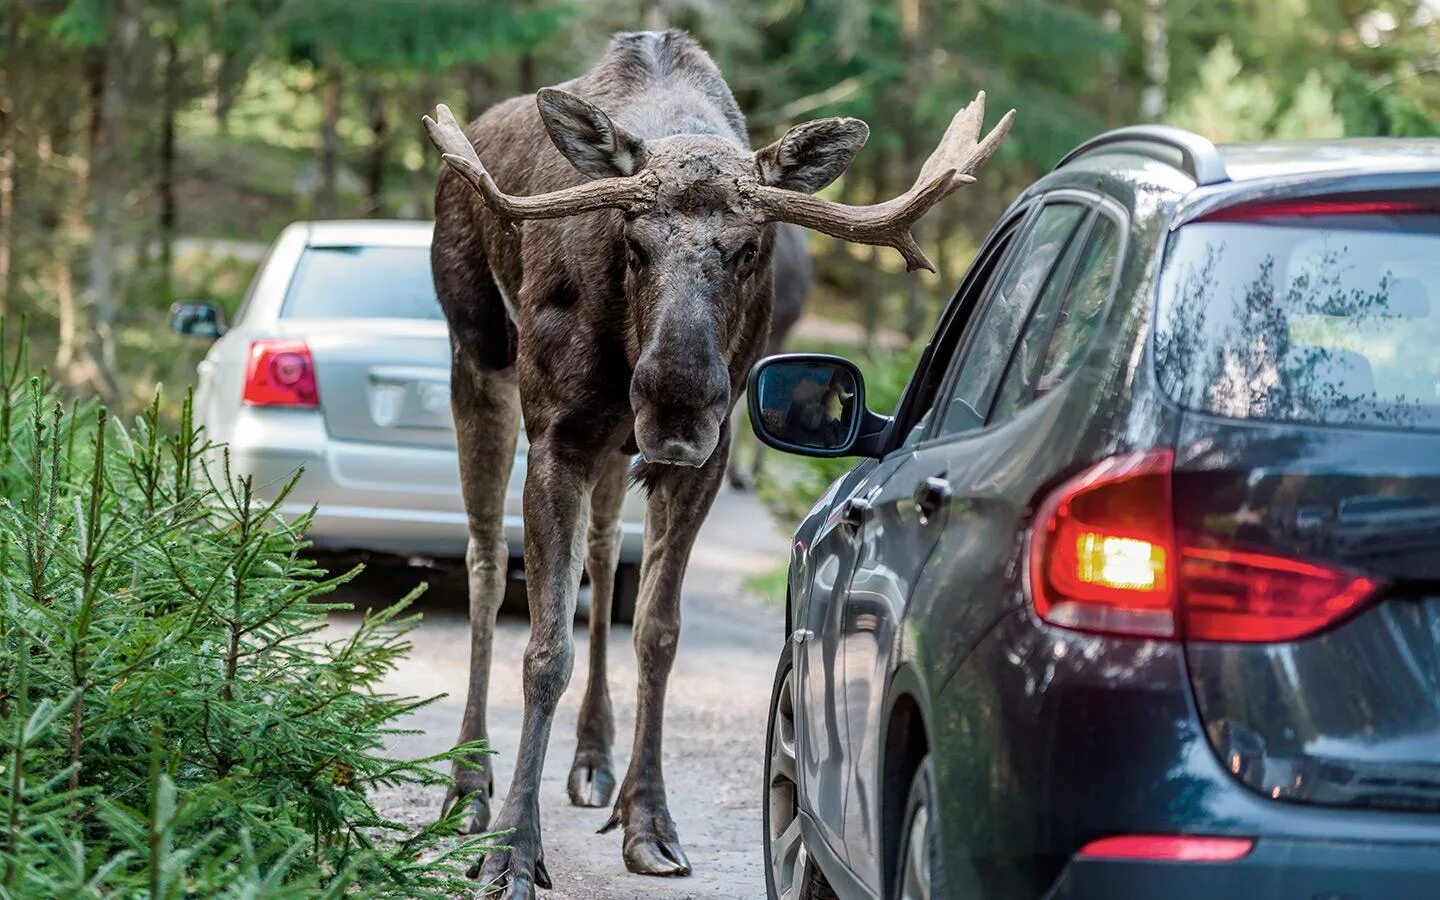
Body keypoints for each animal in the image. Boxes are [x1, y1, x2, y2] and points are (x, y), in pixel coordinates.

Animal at [426, 28, 1013, 898]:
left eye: (747, 249)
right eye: (634, 243)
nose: (675, 397)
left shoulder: (702, 453)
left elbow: (657, 632)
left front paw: (650, 823)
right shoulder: (559, 431)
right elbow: (543, 648)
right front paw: (512, 852)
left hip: (614, 446)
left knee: (601, 555)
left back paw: (593, 761)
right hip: (478, 358)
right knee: (486, 561)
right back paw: (467, 786)